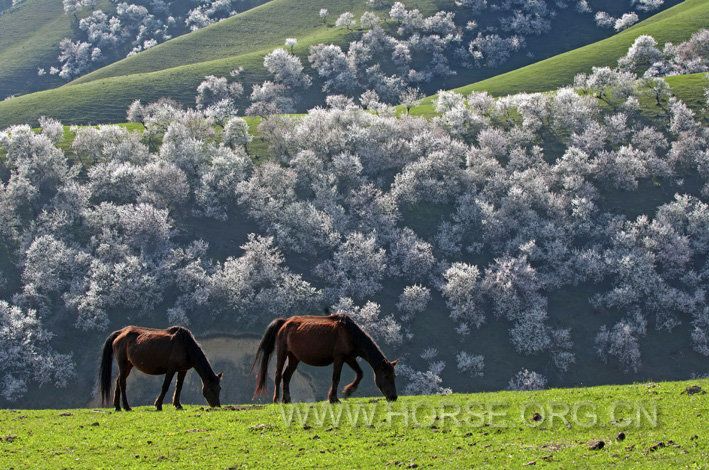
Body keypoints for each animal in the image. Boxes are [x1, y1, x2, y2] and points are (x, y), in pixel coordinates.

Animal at [254, 312, 398, 404]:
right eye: (386, 376)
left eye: (394, 376)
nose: (394, 397)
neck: (350, 333)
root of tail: (284, 322)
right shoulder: (339, 358)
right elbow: (336, 378)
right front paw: (334, 398)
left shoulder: (349, 358)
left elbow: (360, 373)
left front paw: (348, 391)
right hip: (282, 353)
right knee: (278, 375)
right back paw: (276, 399)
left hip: (294, 357)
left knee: (286, 376)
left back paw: (286, 399)